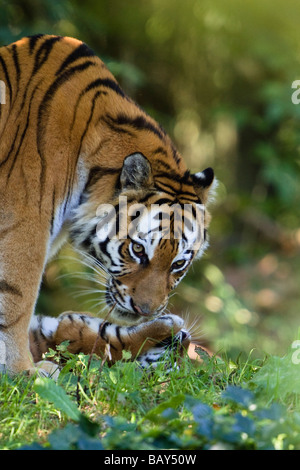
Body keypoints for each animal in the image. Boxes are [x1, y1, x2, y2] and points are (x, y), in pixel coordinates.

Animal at [0, 35, 216, 376]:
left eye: (179, 264)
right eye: (138, 250)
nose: (145, 311)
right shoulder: (24, 225)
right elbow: (17, 300)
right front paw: (24, 372)